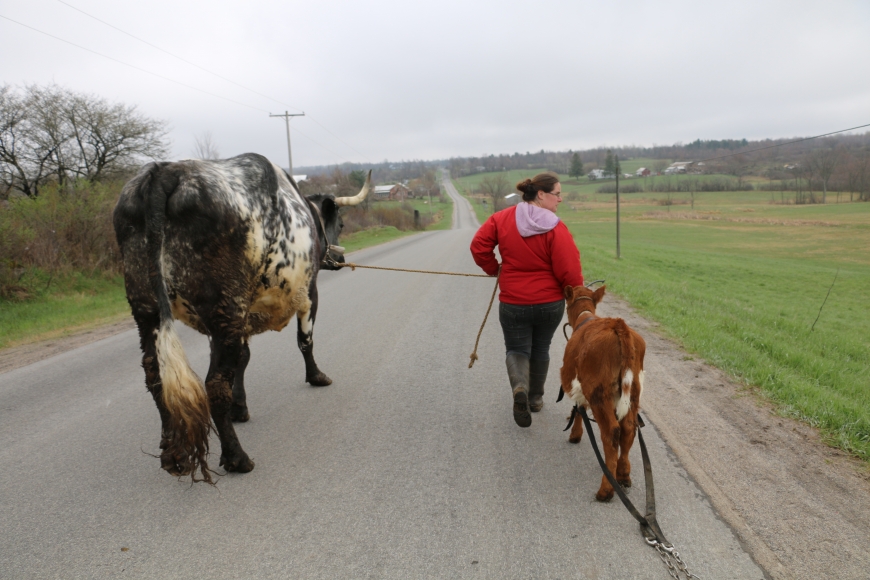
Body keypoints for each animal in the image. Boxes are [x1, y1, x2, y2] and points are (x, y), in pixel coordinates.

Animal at [113, 153, 370, 483]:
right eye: (340, 222)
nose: (338, 259)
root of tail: (166, 172)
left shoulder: (238, 318)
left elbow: (242, 359)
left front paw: (239, 407)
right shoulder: (307, 293)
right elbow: (305, 341)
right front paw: (316, 376)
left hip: (148, 309)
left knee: (155, 375)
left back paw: (173, 454)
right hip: (226, 306)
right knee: (213, 386)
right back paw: (237, 457)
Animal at [559, 285, 647, 502]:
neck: (586, 316)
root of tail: (619, 325)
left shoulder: (580, 386)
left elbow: (579, 409)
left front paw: (575, 435)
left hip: (598, 392)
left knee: (611, 432)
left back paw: (606, 489)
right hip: (634, 391)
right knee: (629, 428)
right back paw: (623, 474)